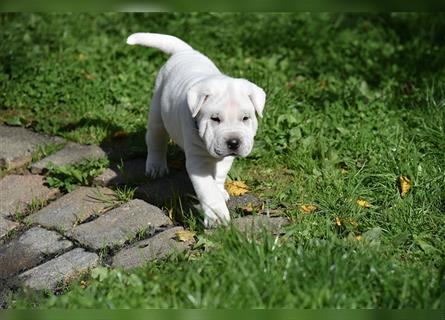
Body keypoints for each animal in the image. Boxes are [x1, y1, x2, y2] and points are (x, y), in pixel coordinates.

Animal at [125, 33, 264, 228]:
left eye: (245, 118)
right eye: (215, 118)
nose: (233, 142)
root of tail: (185, 51)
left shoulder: (225, 157)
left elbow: (219, 176)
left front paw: (220, 191)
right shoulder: (198, 162)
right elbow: (208, 189)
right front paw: (217, 217)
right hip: (157, 114)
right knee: (156, 141)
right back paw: (156, 166)